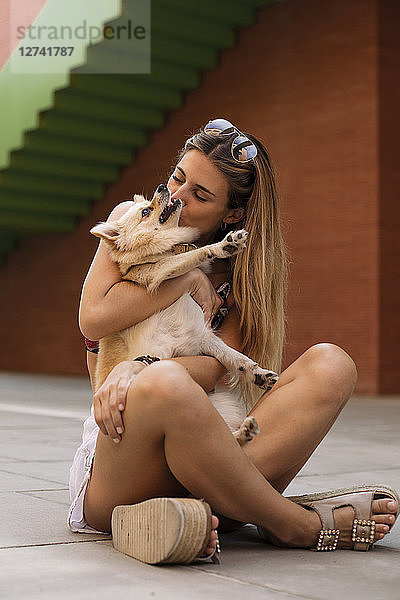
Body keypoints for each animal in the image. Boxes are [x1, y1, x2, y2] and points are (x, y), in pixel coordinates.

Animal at [90, 185, 278, 442]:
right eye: (146, 211)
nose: (162, 187)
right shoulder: (158, 272)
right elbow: (188, 258)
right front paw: (222, 246)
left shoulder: (202, 336)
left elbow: (237, 358)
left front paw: (257, 373)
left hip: (220, 403)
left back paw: (243, 432)